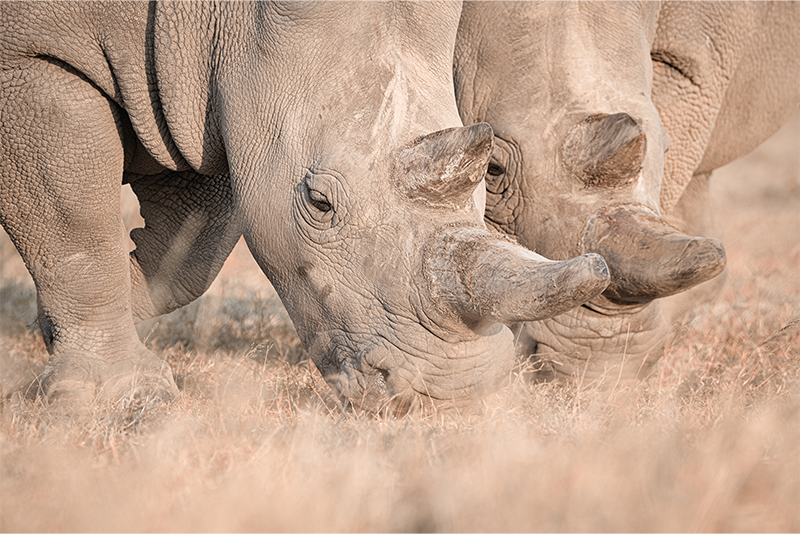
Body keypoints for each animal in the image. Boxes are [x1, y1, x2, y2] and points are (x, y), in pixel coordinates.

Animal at [0, 1, 611, 411]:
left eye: (490, 177)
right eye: (319, 202)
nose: (454, 395)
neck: (220, 16)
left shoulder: (202, 94)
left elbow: (190, 251)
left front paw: (56, 322)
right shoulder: (28, 57)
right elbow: (76, 224)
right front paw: (120, 397)